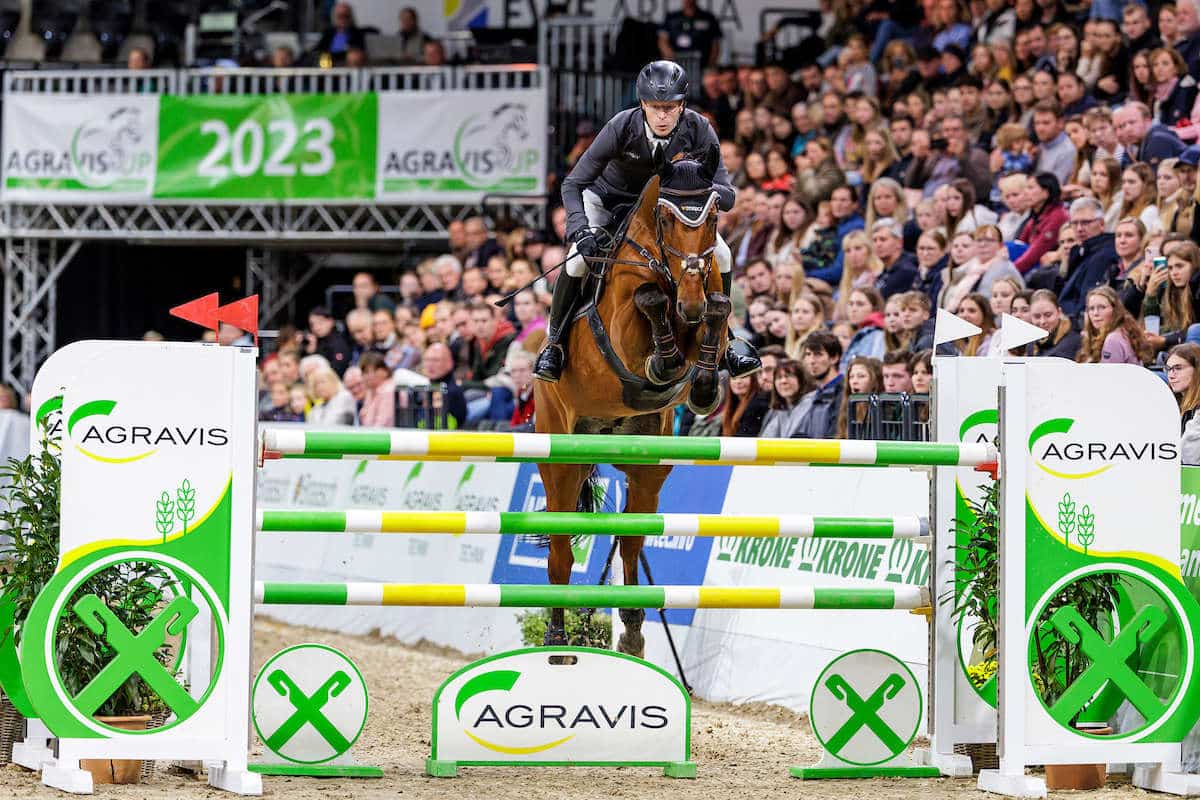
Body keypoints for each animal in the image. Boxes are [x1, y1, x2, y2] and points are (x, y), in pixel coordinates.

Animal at [537, 151, 729, 657]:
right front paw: (665, 360)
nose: (689, 303)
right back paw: (558, 639)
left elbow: (719, 311)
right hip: (560, 460)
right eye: (666, 217)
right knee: (561, 552)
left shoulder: (708, 298)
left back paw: (633, 631)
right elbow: (648, 299)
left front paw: (703, 387)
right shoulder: (624, 330)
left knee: (630, 542)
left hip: (646, 465)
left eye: (712, 217)